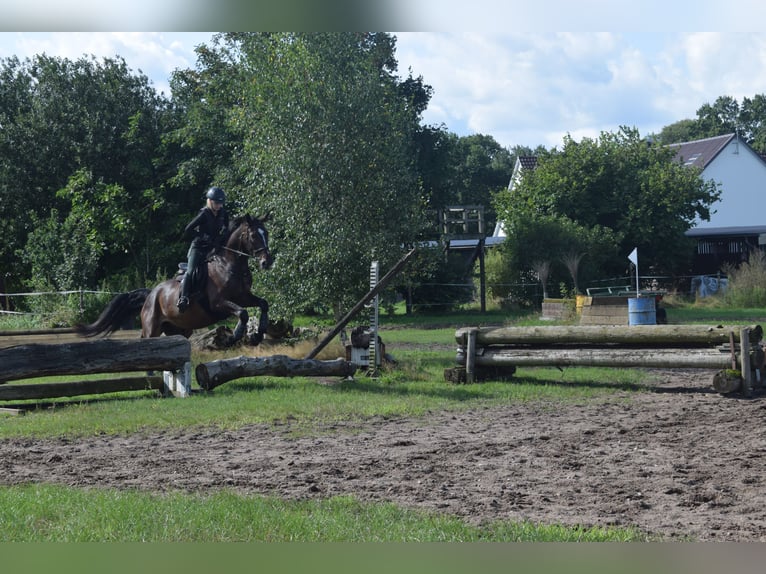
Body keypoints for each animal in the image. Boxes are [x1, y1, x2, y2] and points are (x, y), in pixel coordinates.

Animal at [76, 215, 274, 346]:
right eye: (254, 236)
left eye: (266, 233)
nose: (267, 262)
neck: (229, 265)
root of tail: (151, 294)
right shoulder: (218, 303)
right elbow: (243, 313)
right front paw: (235, 335)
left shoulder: (243, 297)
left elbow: (263, 304)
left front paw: (259, 334)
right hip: (152, 327)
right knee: (146, 340)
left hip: (180, 329)